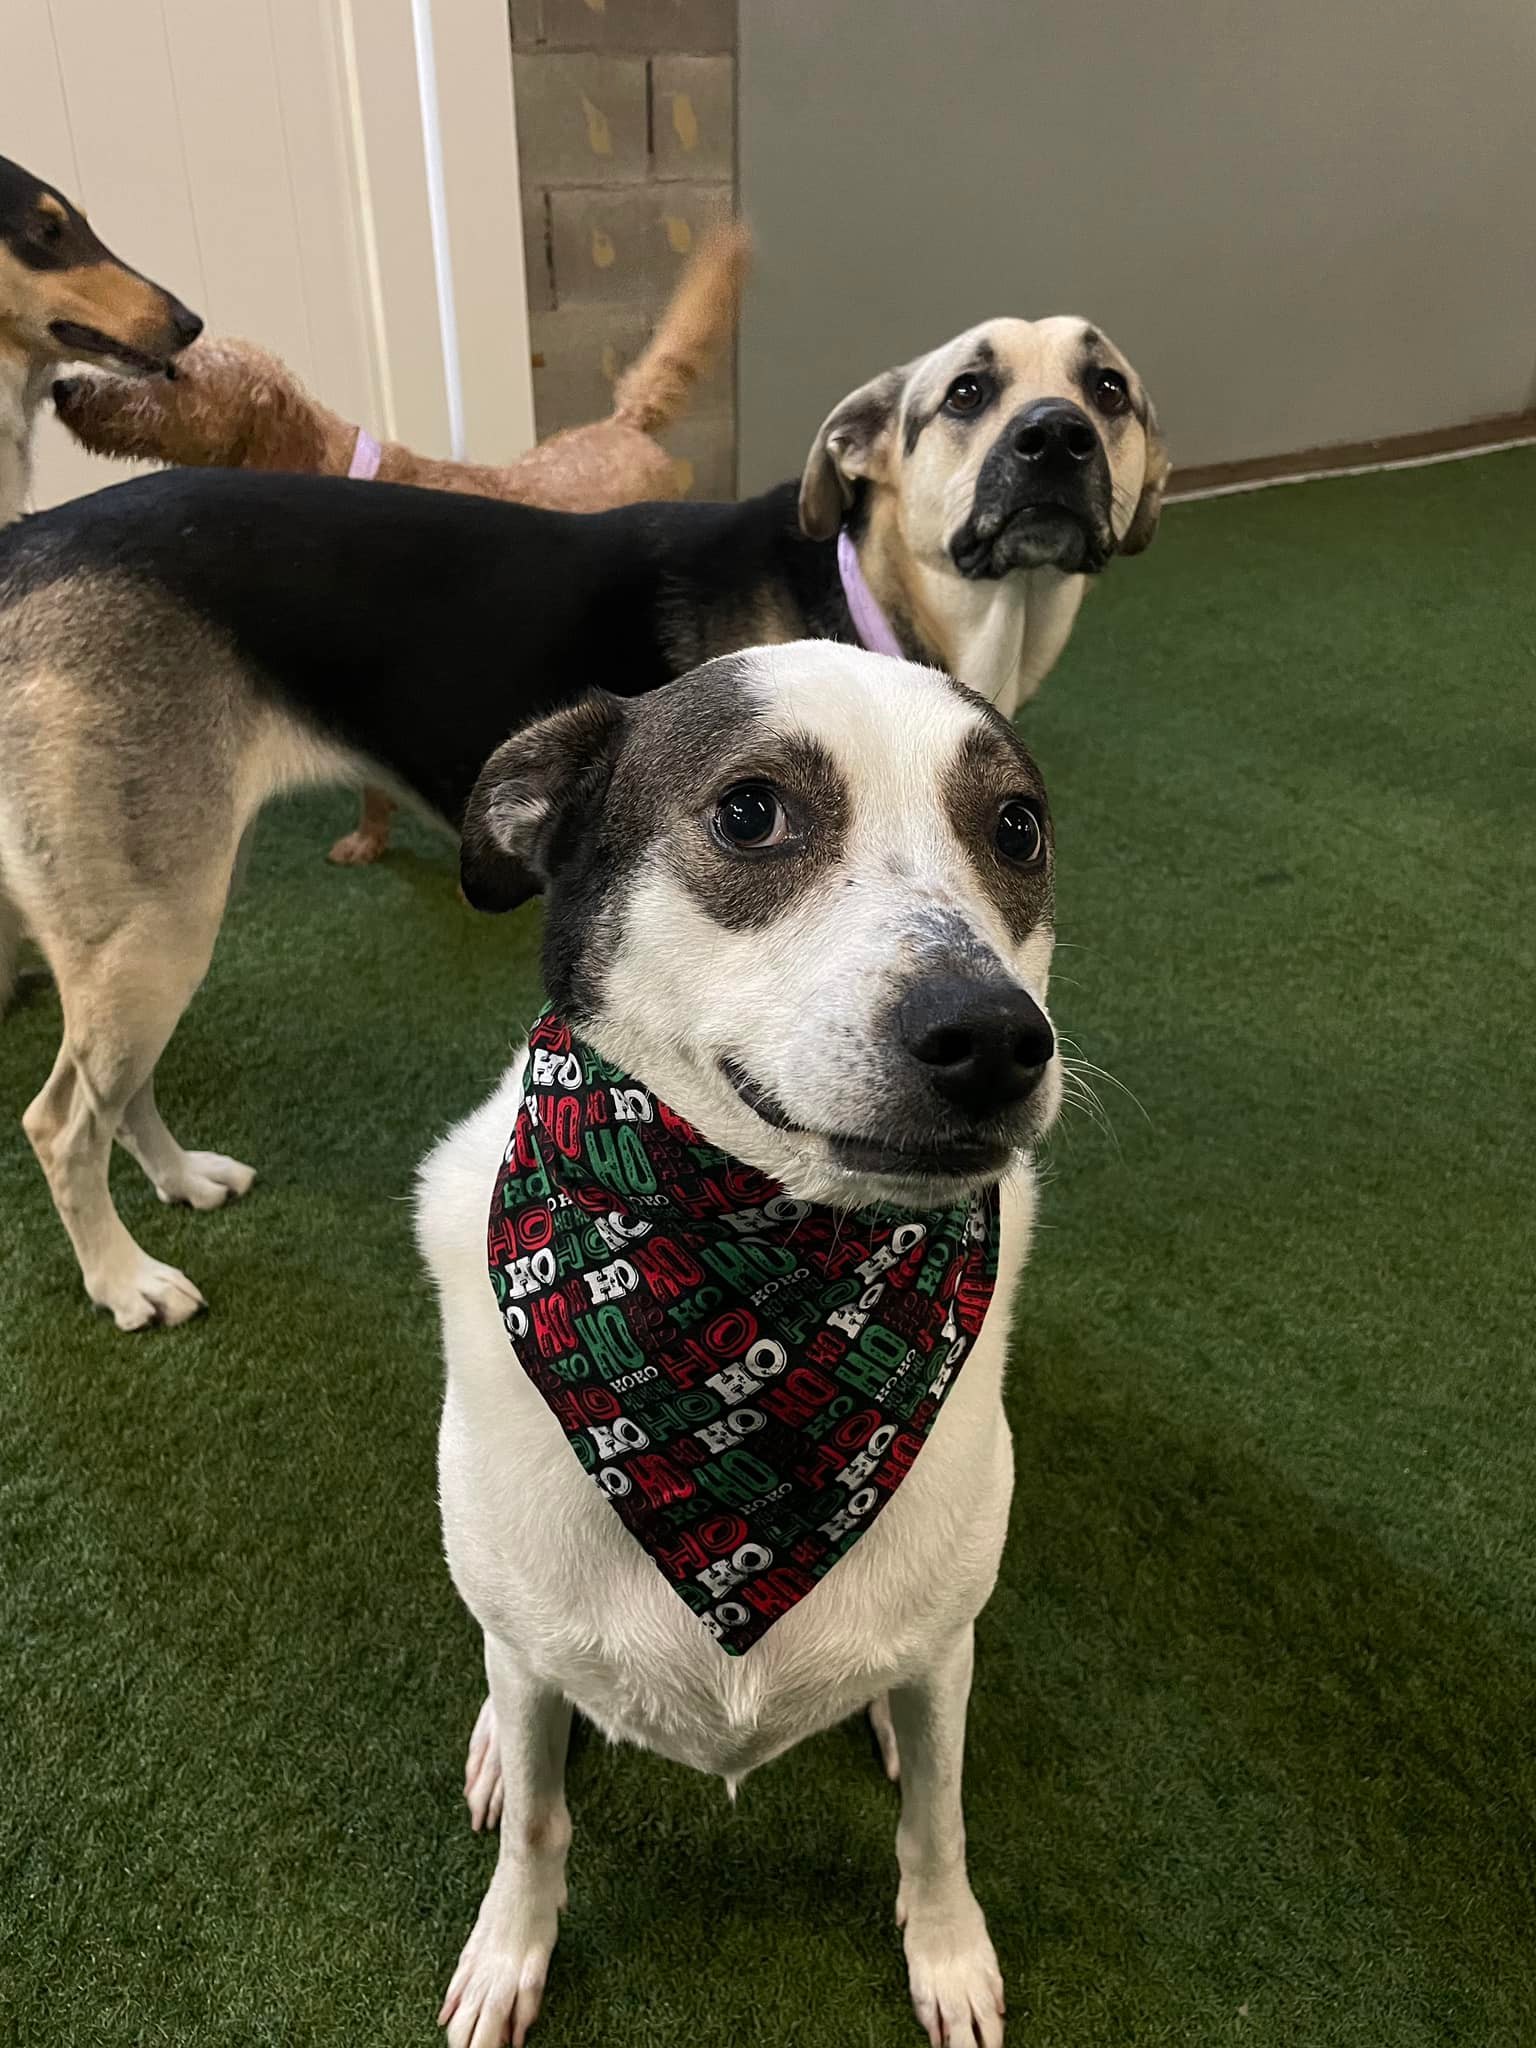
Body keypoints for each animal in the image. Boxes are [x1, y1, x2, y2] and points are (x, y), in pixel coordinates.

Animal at [0, 311, 1162, 1333]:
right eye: (967, 392)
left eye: (1109, 389)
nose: (1055, 435)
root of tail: (25, 541)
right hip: (157, 915)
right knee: (59, 1119)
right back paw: (124, 1278)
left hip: (156, 903)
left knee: (115, 1085)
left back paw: (178, 1178)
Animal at [415, 639, 1061, 2048]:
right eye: (751, 811)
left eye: (1017, 827)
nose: (995, 1037)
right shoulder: (536, 1650)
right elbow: (538, 1823)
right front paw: (508, 1950)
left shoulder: (946, 1657)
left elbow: (937, 1820)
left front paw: (947, 1951)